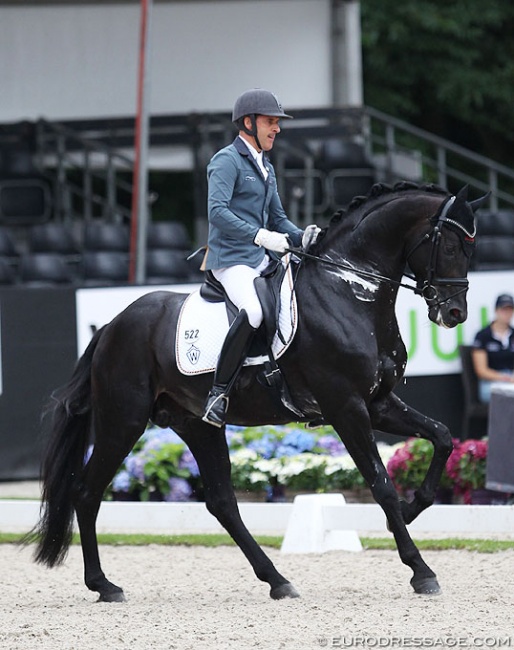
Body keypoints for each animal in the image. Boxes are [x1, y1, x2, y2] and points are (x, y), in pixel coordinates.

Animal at [31, 180, 484, 600]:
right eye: (449, 245)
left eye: (471, 247)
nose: (455, 313)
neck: (349, 289)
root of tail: (112, 325)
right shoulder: (346, 407)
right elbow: (381, 484)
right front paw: (421, 570)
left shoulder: (378, 403)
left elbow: (442, 437)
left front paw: (412, 508)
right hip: (122, 421)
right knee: (86, 492)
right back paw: (104, 585)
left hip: (197, 425)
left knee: (222, 502)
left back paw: (278, 581)